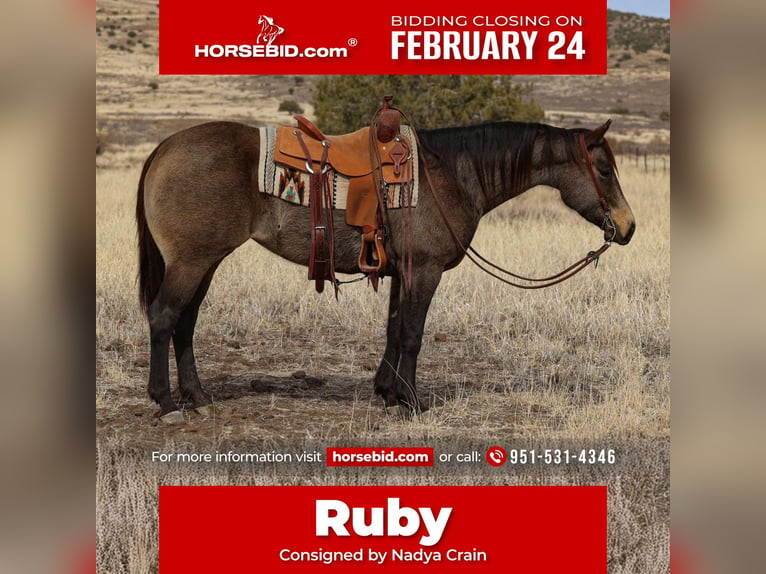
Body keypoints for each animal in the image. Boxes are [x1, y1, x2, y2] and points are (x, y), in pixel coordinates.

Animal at [136, 118, 636, 424]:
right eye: (604, 169)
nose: (628, 227)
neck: (454, 173)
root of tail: (166, 146)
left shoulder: (402, 273)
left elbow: (394, 331)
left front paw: (387, 392)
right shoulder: (425, 271)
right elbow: (412, 335)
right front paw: (411, 402)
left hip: (204, 262)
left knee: (185, 324)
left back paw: (197, 396)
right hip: (193, 261)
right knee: (163, 318)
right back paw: (166, 401)